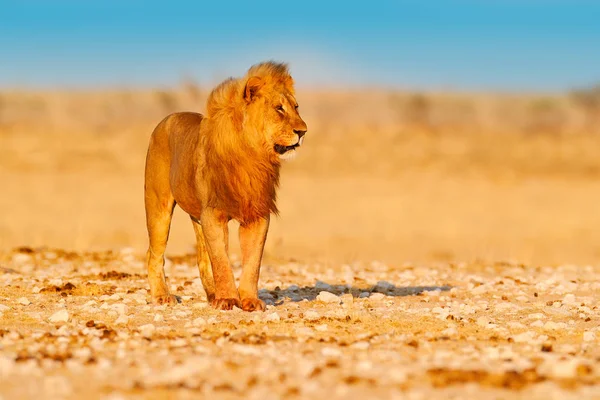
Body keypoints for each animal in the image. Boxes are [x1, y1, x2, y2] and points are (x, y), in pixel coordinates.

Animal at [143, 63, 308, 312]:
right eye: (279, 109)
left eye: (296, 107)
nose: (303, 131)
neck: (253, 156)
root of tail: (165, 120)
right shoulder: (213, 213)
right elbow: (221, 260)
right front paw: (229, 299)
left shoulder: (257, 215)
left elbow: (252, 263)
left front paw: (249, 300)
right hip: (158, 206)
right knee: (154, 253)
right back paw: (162, 296)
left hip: (197, 217)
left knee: (202, 258)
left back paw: (212, 295)